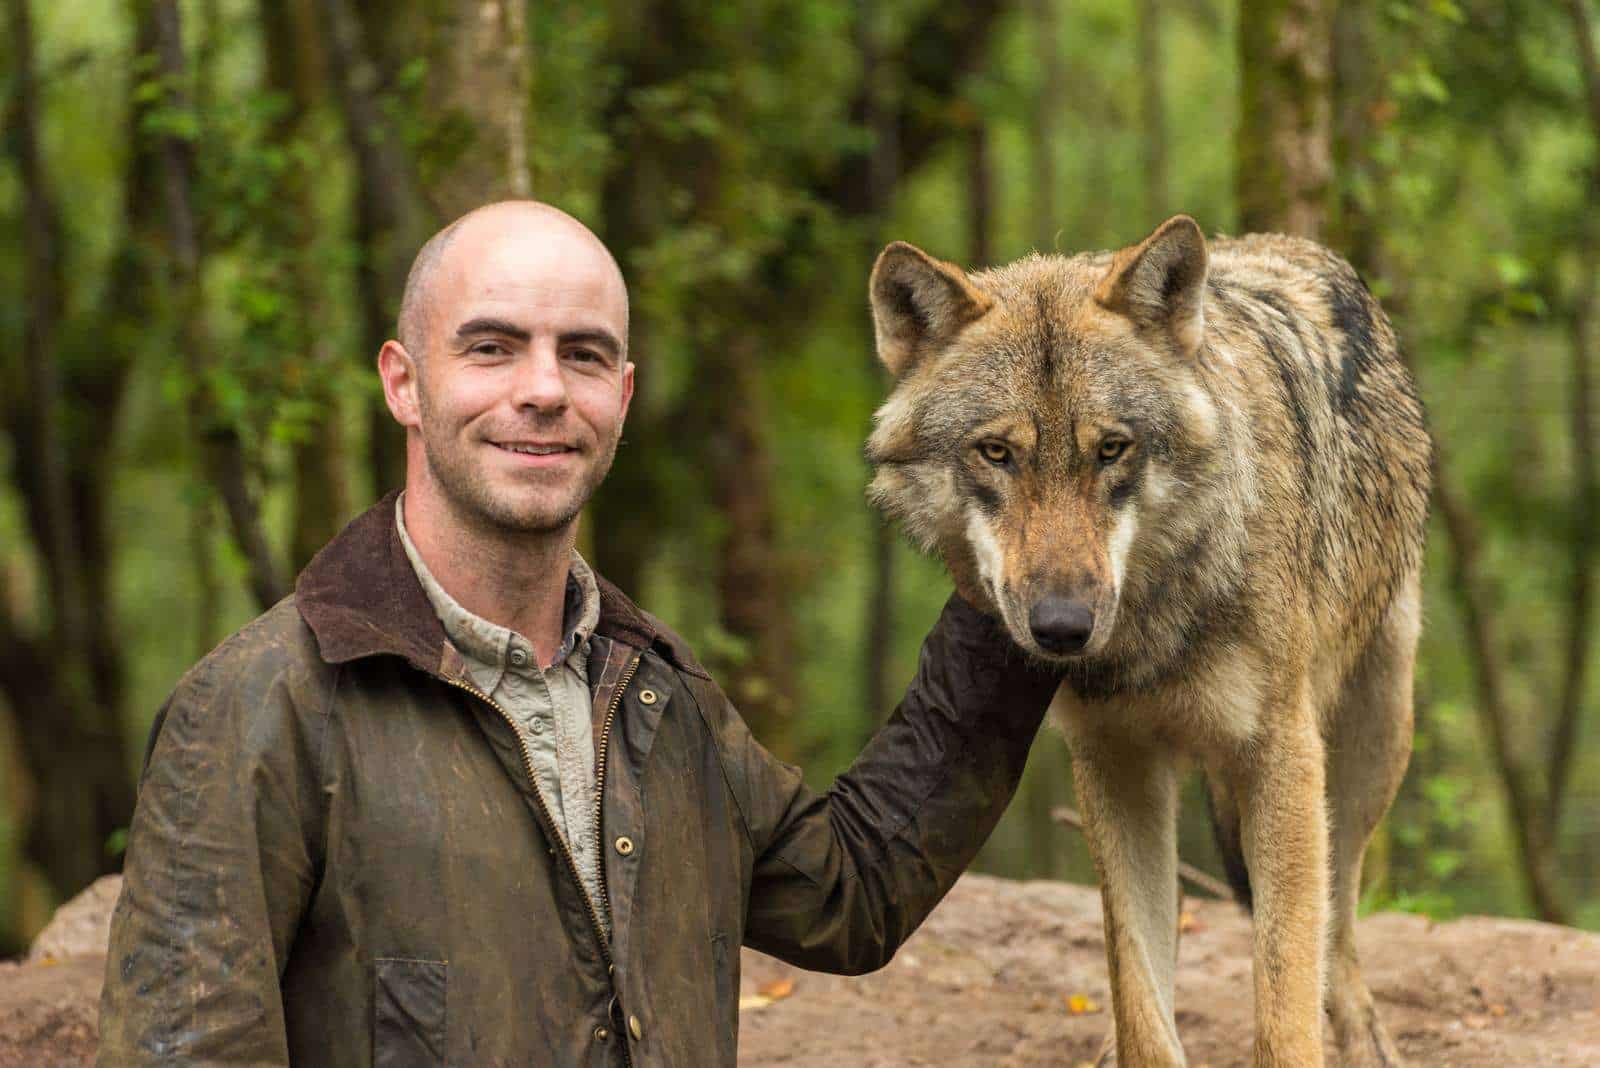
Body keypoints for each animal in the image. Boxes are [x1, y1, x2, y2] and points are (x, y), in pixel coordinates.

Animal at [865, 215, 1432, 1068]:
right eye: (997, 452)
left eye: (1112, 449)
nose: (1061, 627)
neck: (1155, 628)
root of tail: (1285, 244)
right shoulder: (1113, 759)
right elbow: (1140, 1000)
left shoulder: (1283, 755)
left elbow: (1284, 999)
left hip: (1374, 737)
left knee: (1335, 921)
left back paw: (1365, 1037)